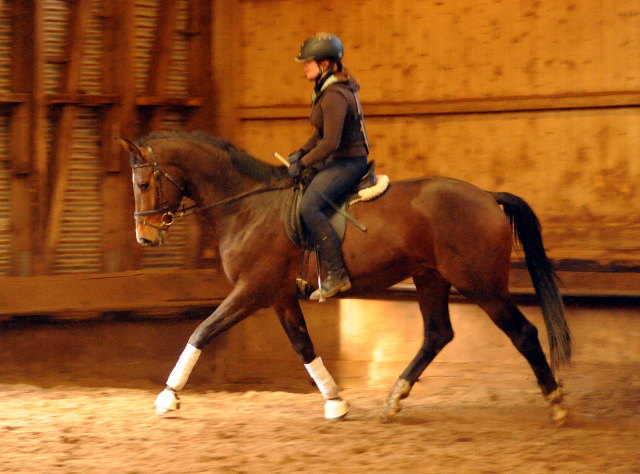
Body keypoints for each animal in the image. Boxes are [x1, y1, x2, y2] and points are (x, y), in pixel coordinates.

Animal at [117, 131, 572, 424]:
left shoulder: (252, 290)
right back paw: (394, 399)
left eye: (143, 181)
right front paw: (335, 401)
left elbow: (202, 331)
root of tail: (488, 197)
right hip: (430, 277)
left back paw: (556, 402)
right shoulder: (280, 296)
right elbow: (303, 345)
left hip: (482, 285)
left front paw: (168, 397)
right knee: (437, 334)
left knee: (523, 333)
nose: (145, 236)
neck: (247, 205)